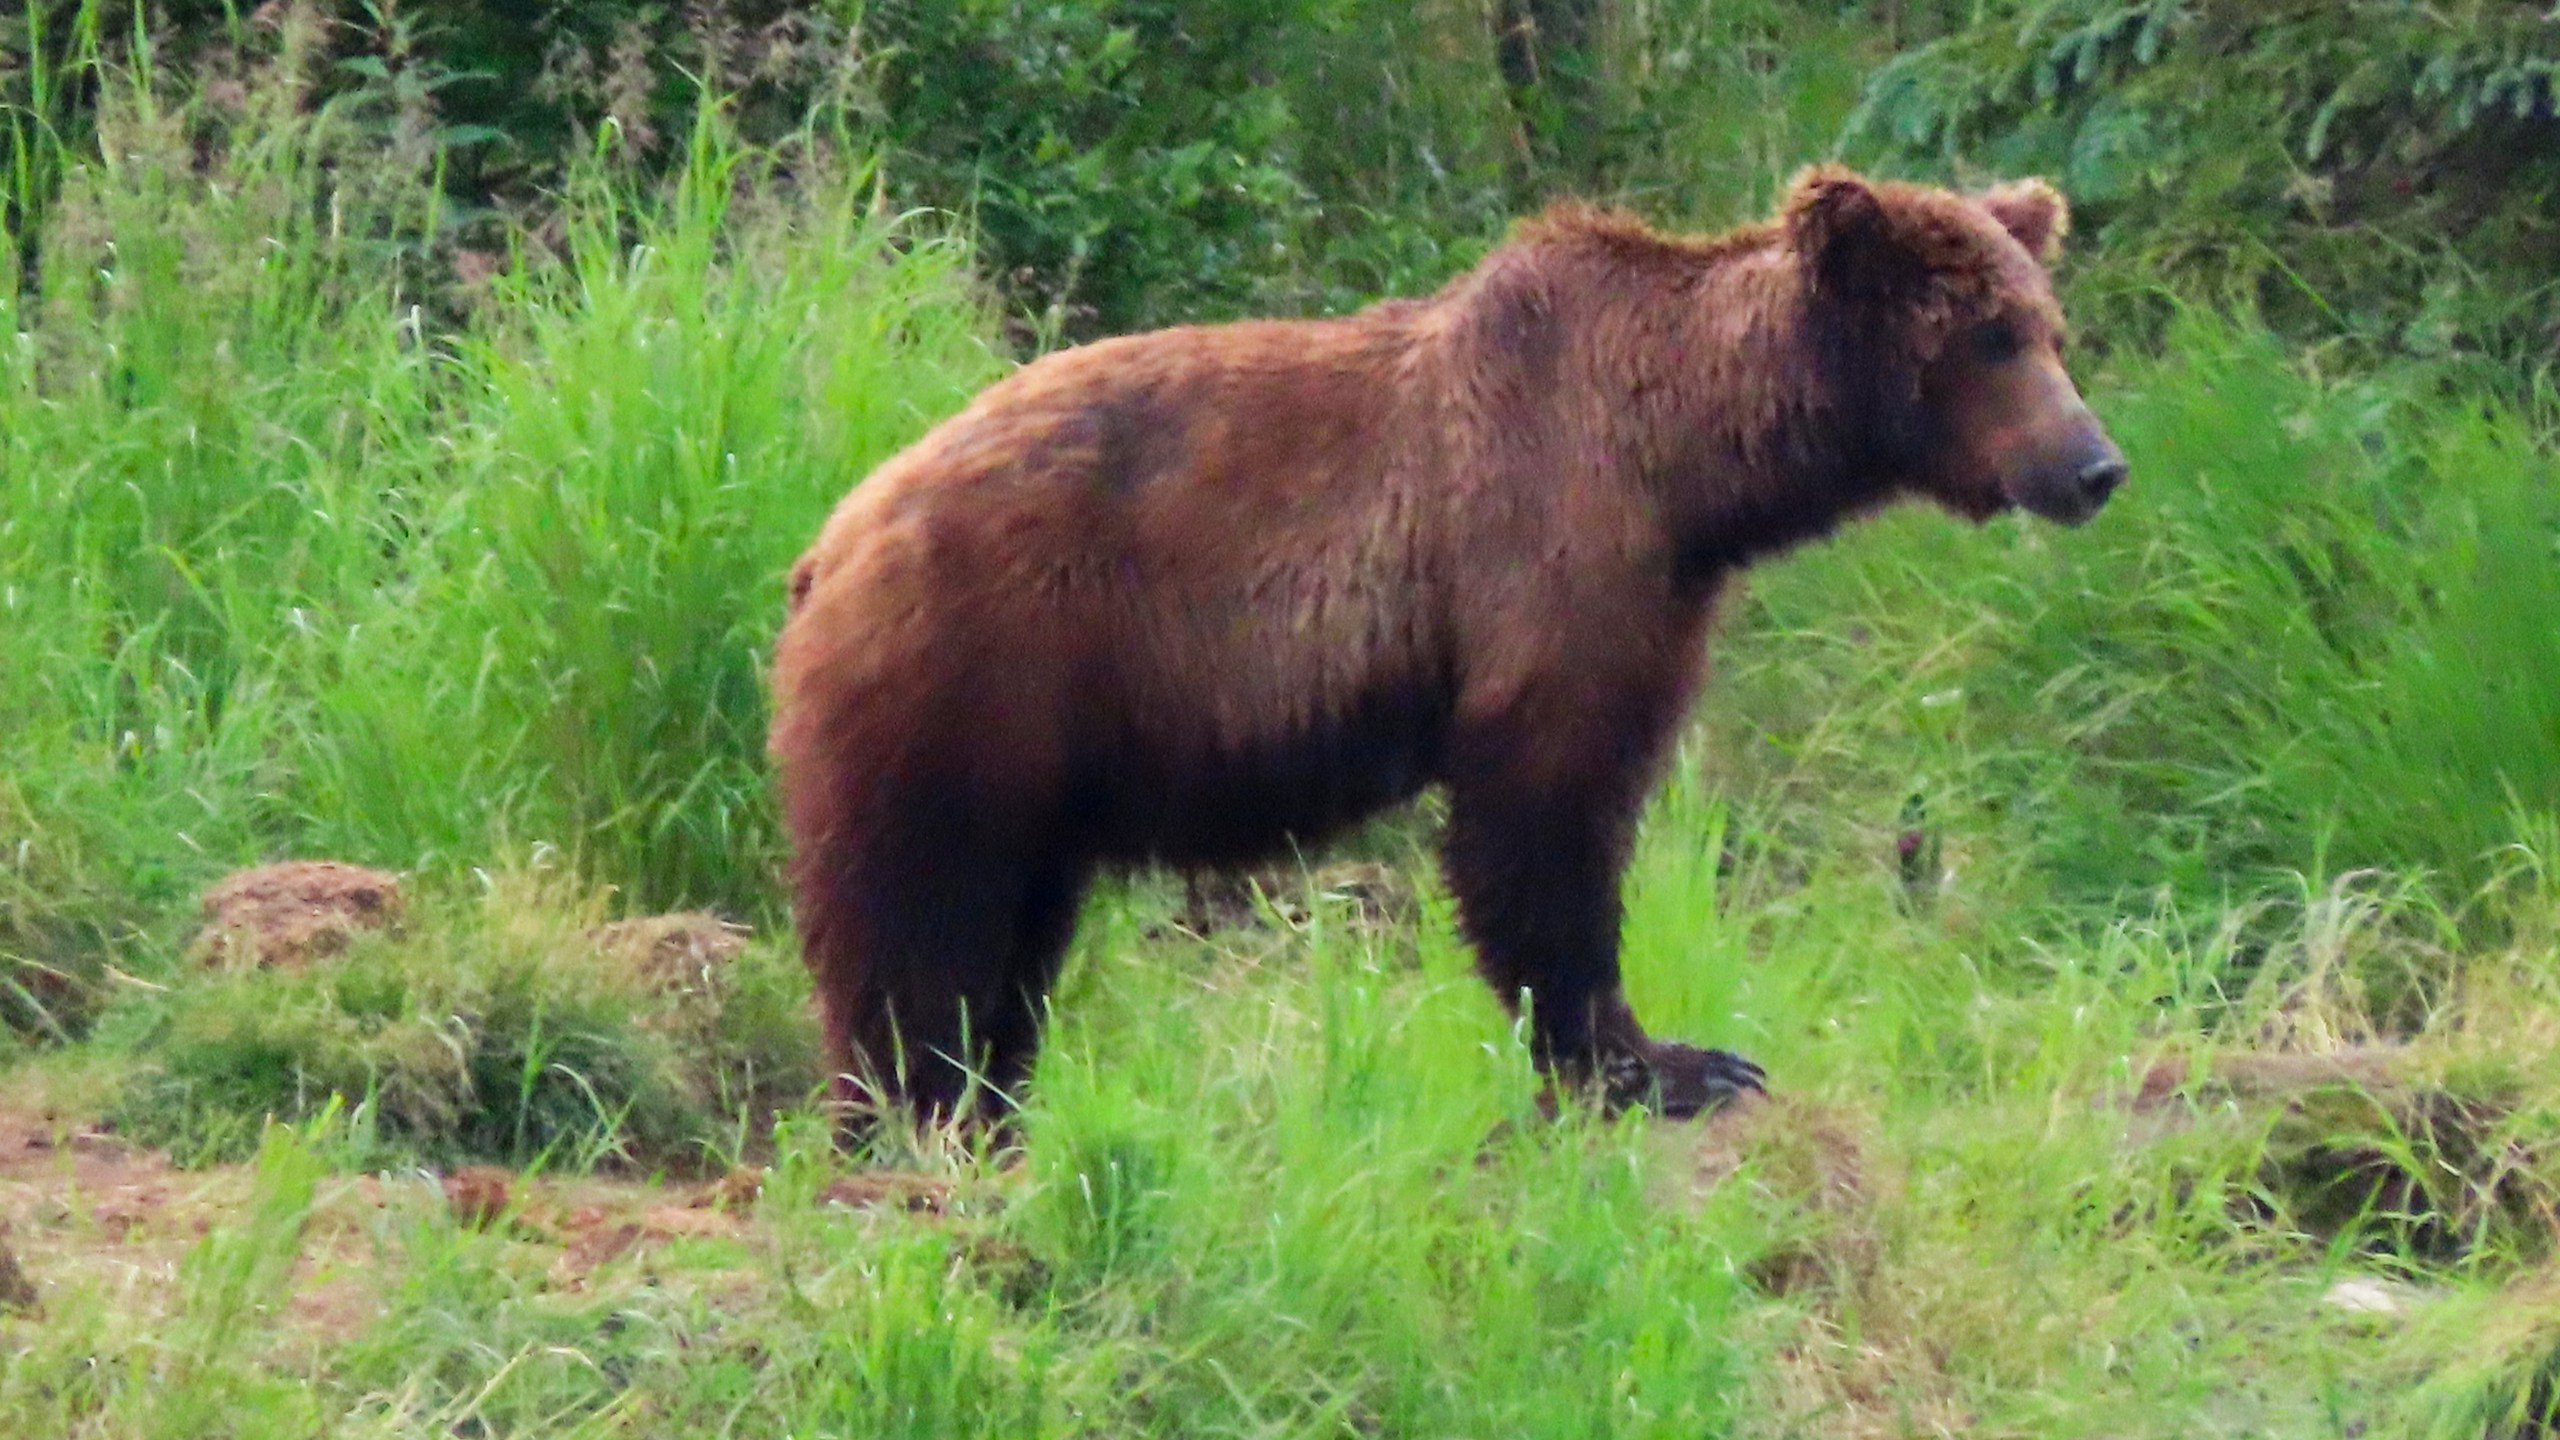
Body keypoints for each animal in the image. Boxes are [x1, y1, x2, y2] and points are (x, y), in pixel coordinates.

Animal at [768, 159, 2129, 1122]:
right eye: (1988, 338)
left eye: (2050, 328)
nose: (2094, 466)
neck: (1690, 472)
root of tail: (830, 538)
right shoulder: (1549, 554)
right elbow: (1543, 813)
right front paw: (1660, 1061)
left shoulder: (1662, 585)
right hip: (968, 677)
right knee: (913, 923)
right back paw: (906, 1113)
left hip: (1034, 758)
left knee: (1008, 941)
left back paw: (988, 1109)